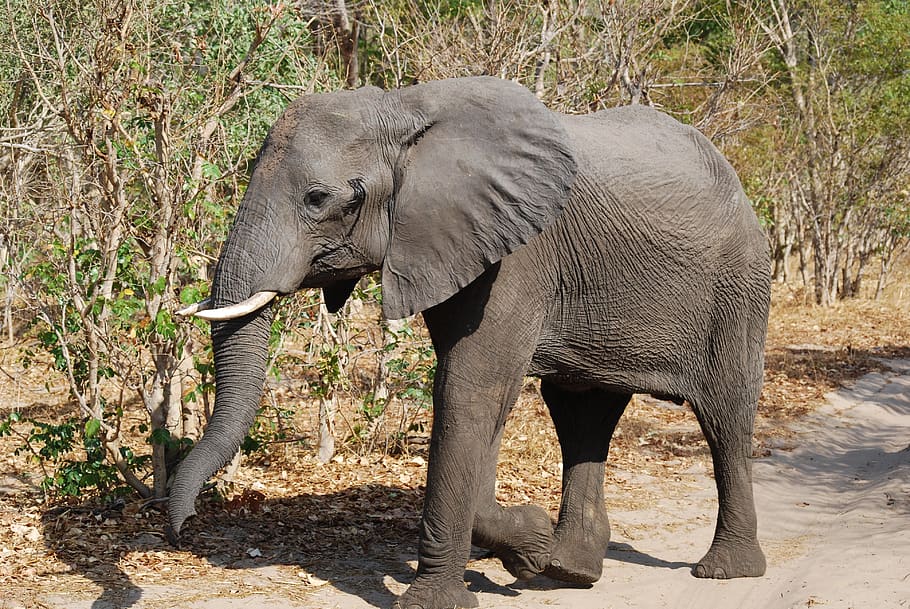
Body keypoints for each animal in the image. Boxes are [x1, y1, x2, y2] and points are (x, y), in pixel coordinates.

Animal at [168, 76, 770, 609]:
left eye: (318, 199)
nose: (180, 529)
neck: (403, 108)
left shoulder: (517, 253)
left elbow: (469, 389)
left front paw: (448, 593)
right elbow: (478, 399)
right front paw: (530, 548)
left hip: (739, 281)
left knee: (725, 413)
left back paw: (723, 571)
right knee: (581, 411)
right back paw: (570, 569)